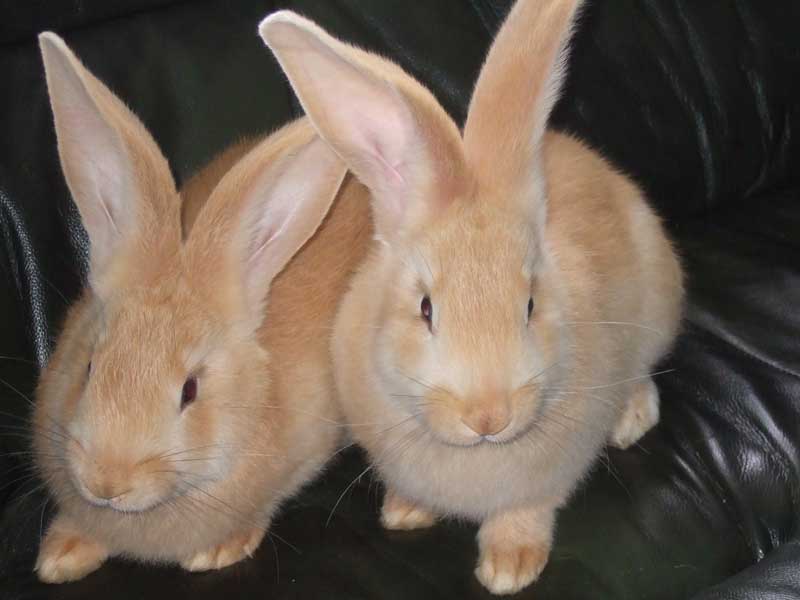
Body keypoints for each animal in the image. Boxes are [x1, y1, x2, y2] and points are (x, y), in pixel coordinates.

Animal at [260, 0, 684, 592]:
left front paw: (508, 568)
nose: (489, 417)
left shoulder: (547, 479)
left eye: (530, 305)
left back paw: (630, 419)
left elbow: (527, 510)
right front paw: (405, 512)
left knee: (646, 369)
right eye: (425, 308)